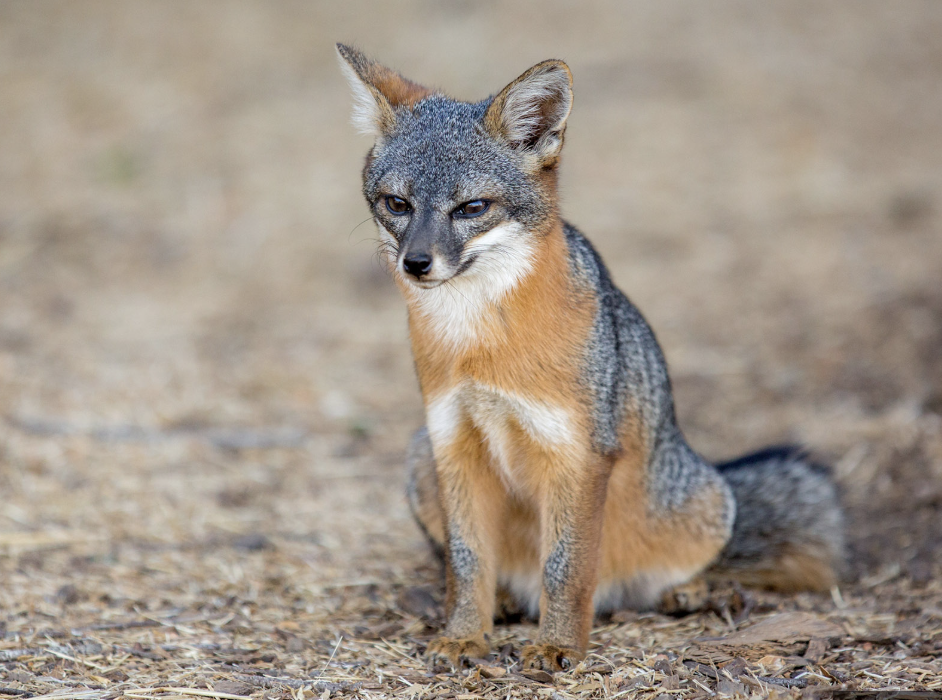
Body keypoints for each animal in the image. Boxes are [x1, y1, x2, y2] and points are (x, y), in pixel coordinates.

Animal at [336, 45, 844, 672]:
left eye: (471, 207)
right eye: (397, 204)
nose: (417, 263)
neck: (479, 344)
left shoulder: (577, 452)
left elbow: (566, 566)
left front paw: (557, 645)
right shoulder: (453, 441)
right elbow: (466, 559)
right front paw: (464, 634)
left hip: (700, 502)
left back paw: (691, 589)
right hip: (419, 458)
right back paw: (506, 601)